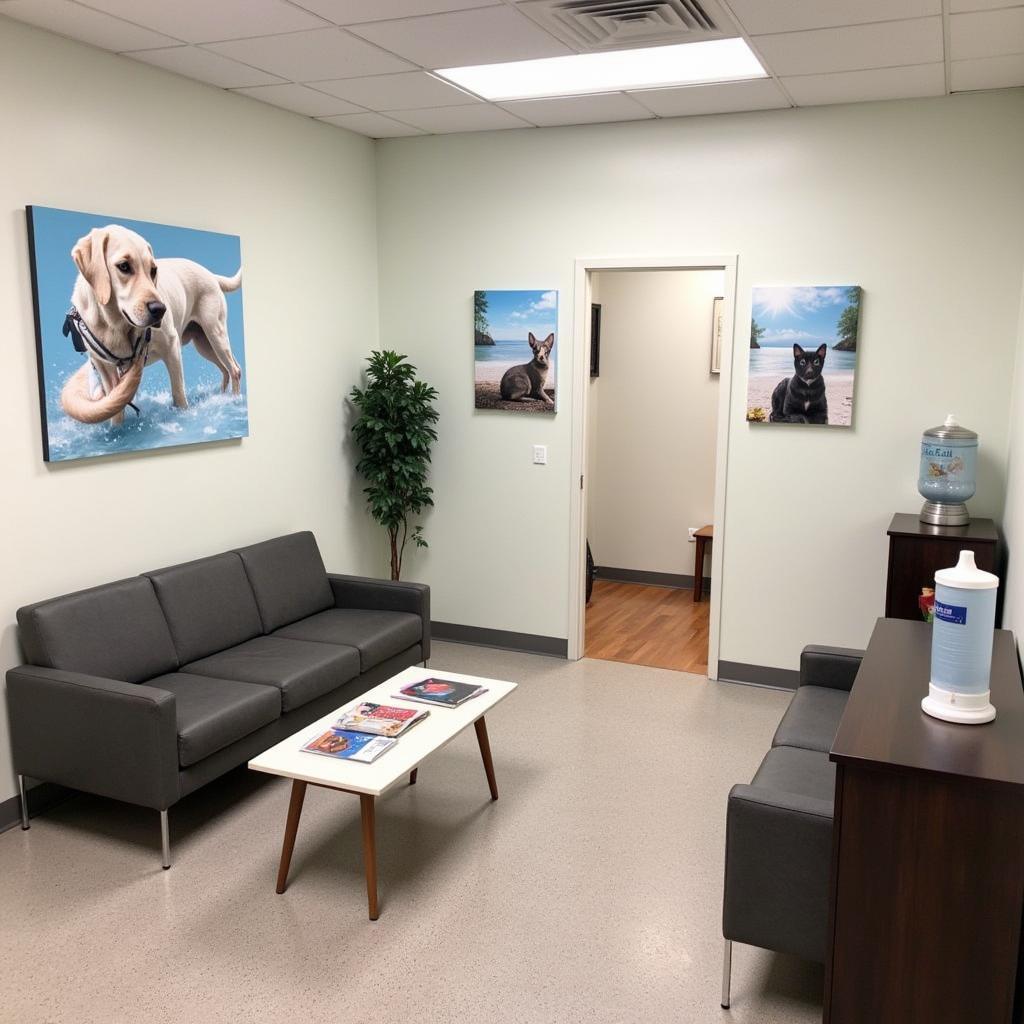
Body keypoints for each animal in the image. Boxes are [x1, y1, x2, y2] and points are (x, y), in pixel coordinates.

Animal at [62, 226, 243, 425]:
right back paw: (222, 397)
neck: (114, 325)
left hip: (215, 335)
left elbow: (178, 394)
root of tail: (211, 274)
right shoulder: (104, 368)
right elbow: (114, 408)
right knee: (225, 369)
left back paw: (233, 401)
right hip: (204, 344)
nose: (160, 310)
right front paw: (116, 430)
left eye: (153, 270)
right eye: (124, 266)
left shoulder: (172, 348)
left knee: (234, 369)